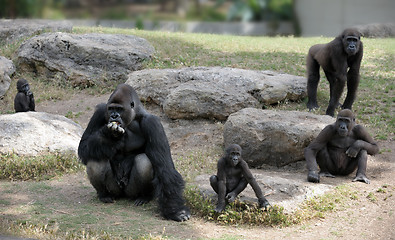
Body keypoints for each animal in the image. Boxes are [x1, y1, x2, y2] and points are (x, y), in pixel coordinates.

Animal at [77, 84, 192, 221]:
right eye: (111, 109)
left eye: (119, 109)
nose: (114, 116)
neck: (132, 118)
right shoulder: (100, 112)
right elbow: (83, 147)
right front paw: (109, 136)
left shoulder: (152, 123)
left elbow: (165, 168)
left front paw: (175, 210)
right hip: (115, 189)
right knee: (95, 159)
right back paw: (104, 194)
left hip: (131, 191)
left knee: (143, 161)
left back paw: (144, 197)